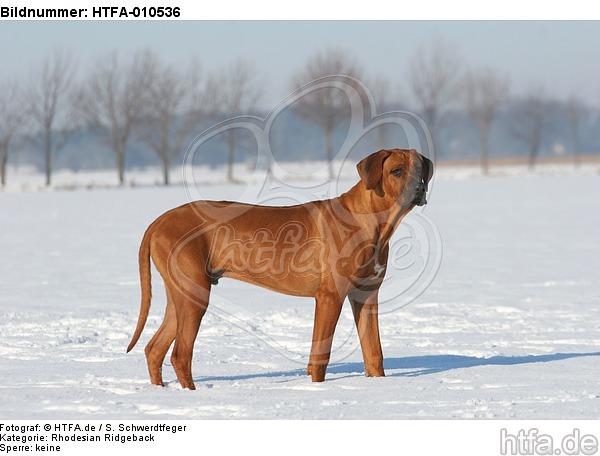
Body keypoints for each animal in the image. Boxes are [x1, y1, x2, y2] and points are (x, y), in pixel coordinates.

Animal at [127, 149, 432, 388]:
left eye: (420, 170)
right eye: (396, 171)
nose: (419, 189)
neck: (371, 223)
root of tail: (158, 221)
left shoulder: (366, 296)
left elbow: (374, 353)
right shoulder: (330, 297)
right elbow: (320, 357)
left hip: (183, 294)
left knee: (154, 349)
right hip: (195, 294)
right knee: (180, 355)